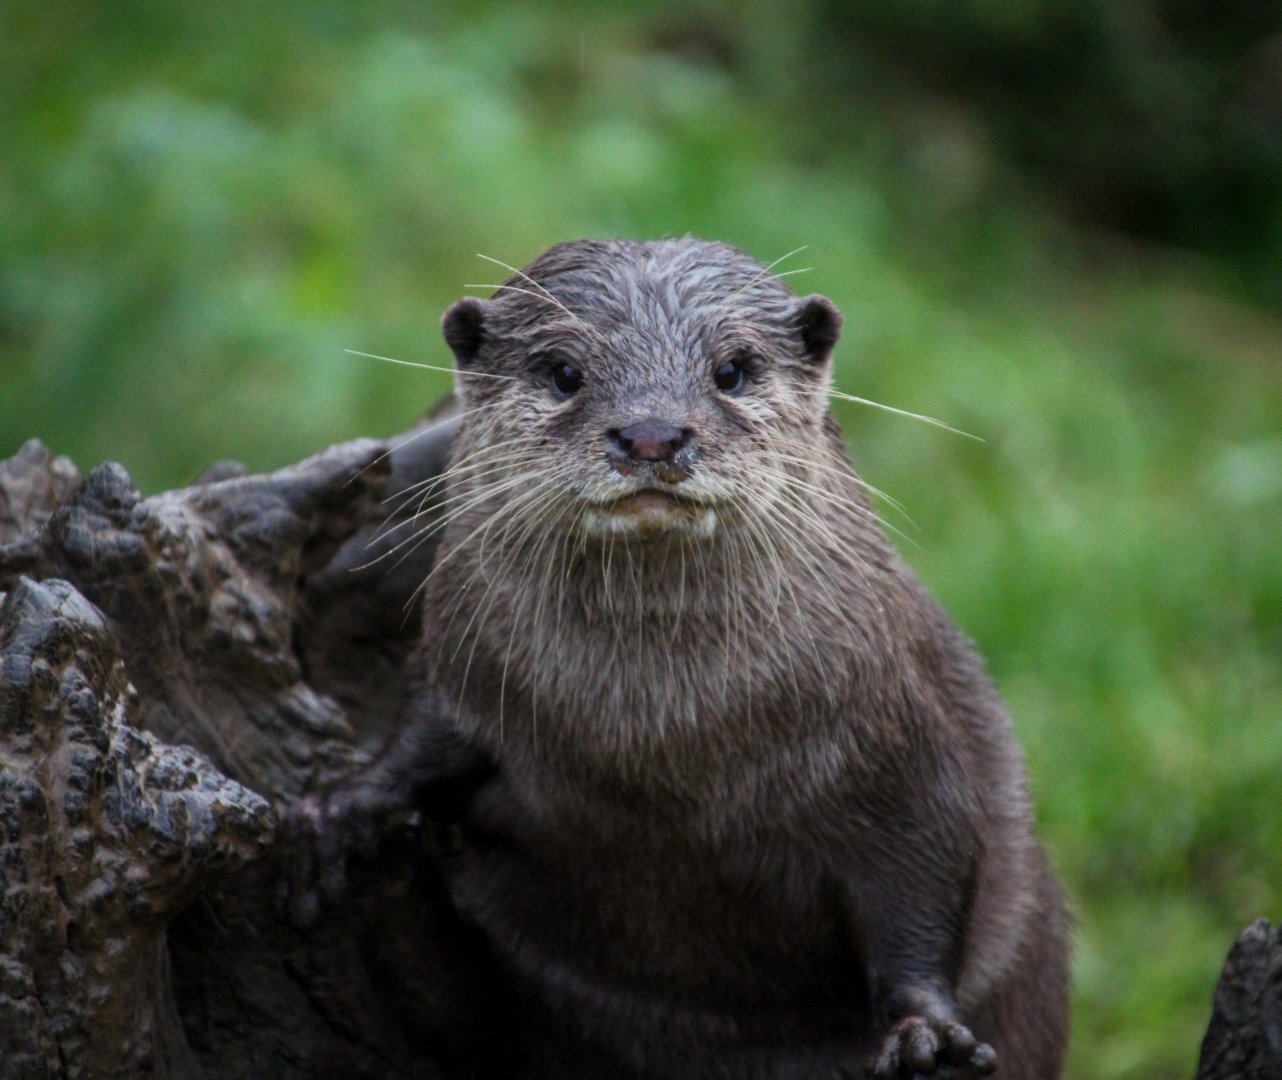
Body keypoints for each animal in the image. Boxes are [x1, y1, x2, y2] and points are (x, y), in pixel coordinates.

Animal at [291, 238, 1070, 1078]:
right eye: (562, 371)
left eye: (732, 369)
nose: (653, 434)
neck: (658, 738)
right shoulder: (463, 667)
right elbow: (422, 733)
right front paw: (343, 809)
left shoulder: (897, 732)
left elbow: (927, 871)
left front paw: (926, 1034)